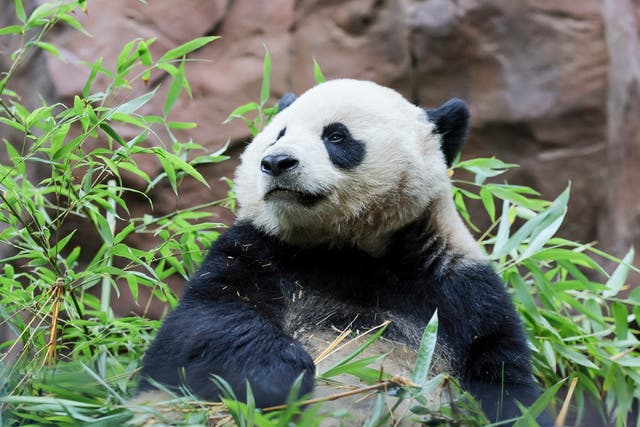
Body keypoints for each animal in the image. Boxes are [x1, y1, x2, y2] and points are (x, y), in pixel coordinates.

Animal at [138, 78, 552, 426]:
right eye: (277, 135)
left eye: (336, 136)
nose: (276, 162)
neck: (347, 246)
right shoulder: (255, 248)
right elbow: (201, 327)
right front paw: (283, 374)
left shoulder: (457, 283)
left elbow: (503, 378)